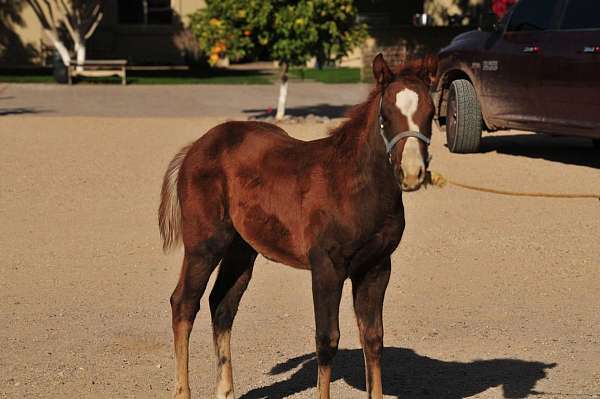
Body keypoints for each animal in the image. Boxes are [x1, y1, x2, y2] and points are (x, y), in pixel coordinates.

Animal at [158, 54, 436, 399]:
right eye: (385, 116)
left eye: (431, 113)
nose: (411, 173)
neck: (354, 184)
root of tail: (196, 146)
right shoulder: (327, 266)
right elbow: (327, 339)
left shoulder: (376, 267)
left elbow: (373, 339)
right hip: (204, 244)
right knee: (184, 304)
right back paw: (183, 390)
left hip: (241, 249)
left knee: (221, 305)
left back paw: (225, 390)